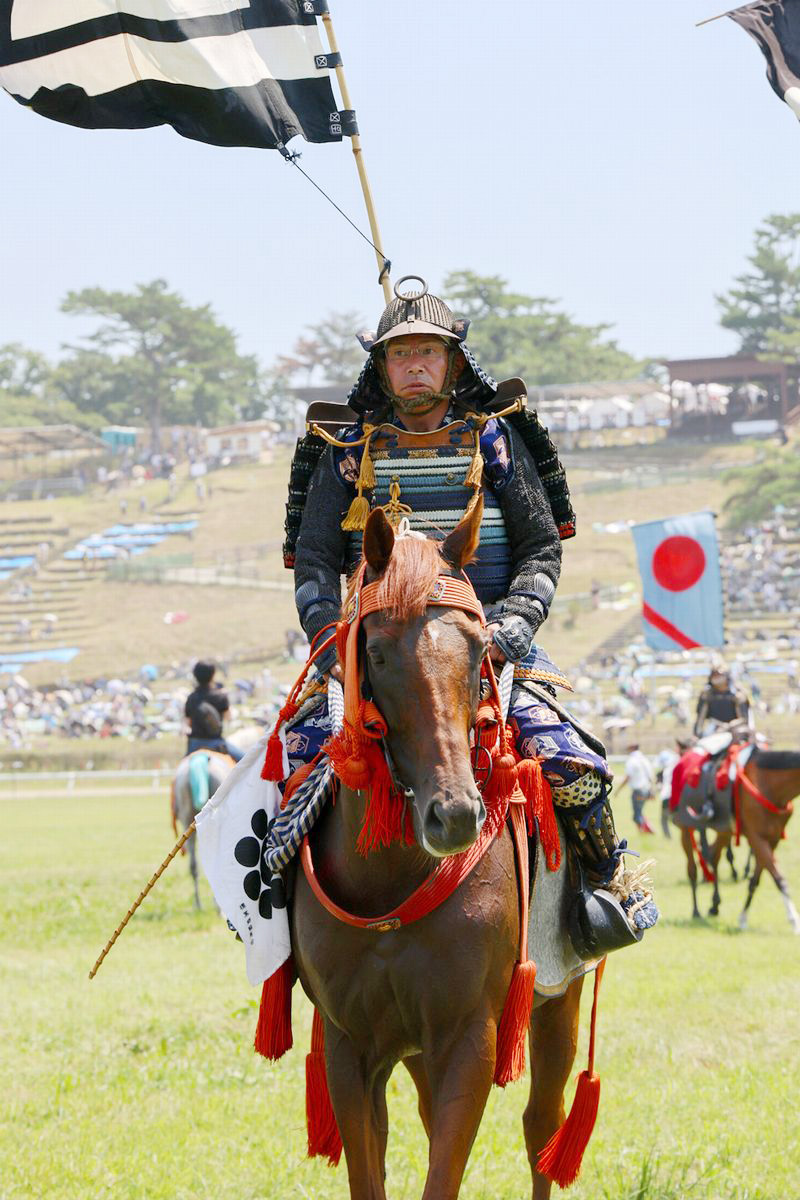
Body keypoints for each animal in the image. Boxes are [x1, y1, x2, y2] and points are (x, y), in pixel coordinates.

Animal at [291, 506, 585, 1200]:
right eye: (374, 651)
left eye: (479, 651)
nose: (453, 816)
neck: (391, 882)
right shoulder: (350, 1046)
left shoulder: (468, 1038)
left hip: (558, 997)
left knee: (543, 1124)